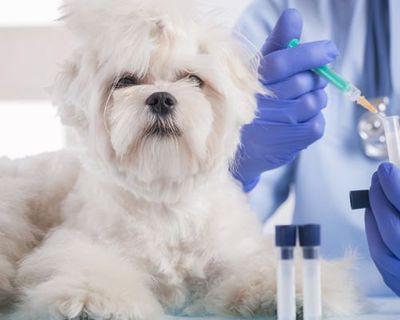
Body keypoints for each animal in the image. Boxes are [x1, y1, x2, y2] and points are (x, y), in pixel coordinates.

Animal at [0, 0, 360, 318]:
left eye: (193, 79)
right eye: (126, 81)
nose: (161, 98)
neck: (167, 198)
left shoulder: (237, 251)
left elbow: (258, 268)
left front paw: (296, 294)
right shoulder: (82, 244)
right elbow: (92, 269)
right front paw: (93, 301)